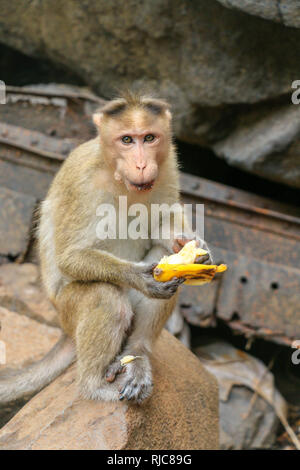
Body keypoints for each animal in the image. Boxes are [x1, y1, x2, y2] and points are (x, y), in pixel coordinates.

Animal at [0, 92, 211, 404]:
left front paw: (191, 244)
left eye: (149, 138)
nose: (141, 164)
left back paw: (136, 355)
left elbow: (165, 219)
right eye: (126, 140)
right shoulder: (82, 182)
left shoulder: (168, 166)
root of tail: (64, 329)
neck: (117, 176)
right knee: (106, 298)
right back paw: (94, 385)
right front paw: (139, 277)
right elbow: (70, 257)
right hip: (67, 311)